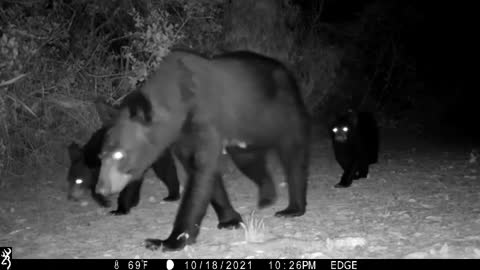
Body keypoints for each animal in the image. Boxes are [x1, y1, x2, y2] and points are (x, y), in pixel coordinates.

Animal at [94, 50, 312, 251]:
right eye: (101, 155)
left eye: (120, 154)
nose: (100, 189)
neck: (179, 101)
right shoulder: (182, 139)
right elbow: (203, 173)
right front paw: (230, 219)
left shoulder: (204, 118)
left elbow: (200, 175)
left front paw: (169, 241)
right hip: (244, 133)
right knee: (248, 159)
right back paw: (267, 194)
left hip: (284, 113)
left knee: (293, 154)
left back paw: (293, 208)